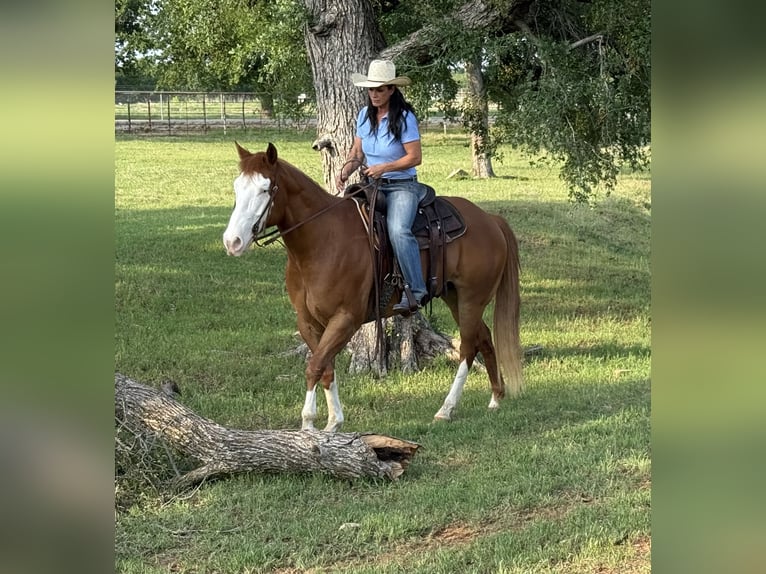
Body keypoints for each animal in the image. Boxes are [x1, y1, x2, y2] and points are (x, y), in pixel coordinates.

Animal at [222, 142, 522, 431]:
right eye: (237, 187)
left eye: (265, 189)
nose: (232, 241)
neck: (323, 240)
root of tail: (490, 220)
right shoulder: (308, 321)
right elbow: (325, 367)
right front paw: (330, 423)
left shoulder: (346, 318)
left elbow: (314, 366)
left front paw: (311, 423)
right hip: (454, 297)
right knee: (484, 337)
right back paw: (496, 397)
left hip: (472, 298)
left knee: (468, 347)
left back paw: (446, 409)